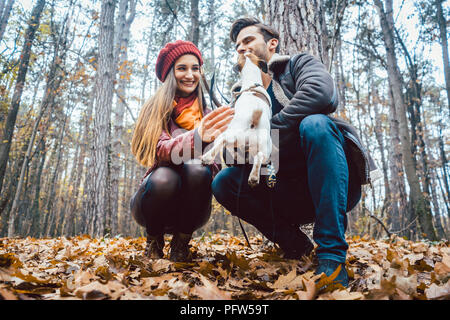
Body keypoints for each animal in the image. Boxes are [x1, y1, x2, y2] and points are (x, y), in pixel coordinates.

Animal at [202, 52, 272, 188]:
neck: (252, 83)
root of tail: (253, 120)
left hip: (232, 134)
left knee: (221, 140)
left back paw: (207, 157)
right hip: (264, 147)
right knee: (259, 156)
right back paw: (253, 177)